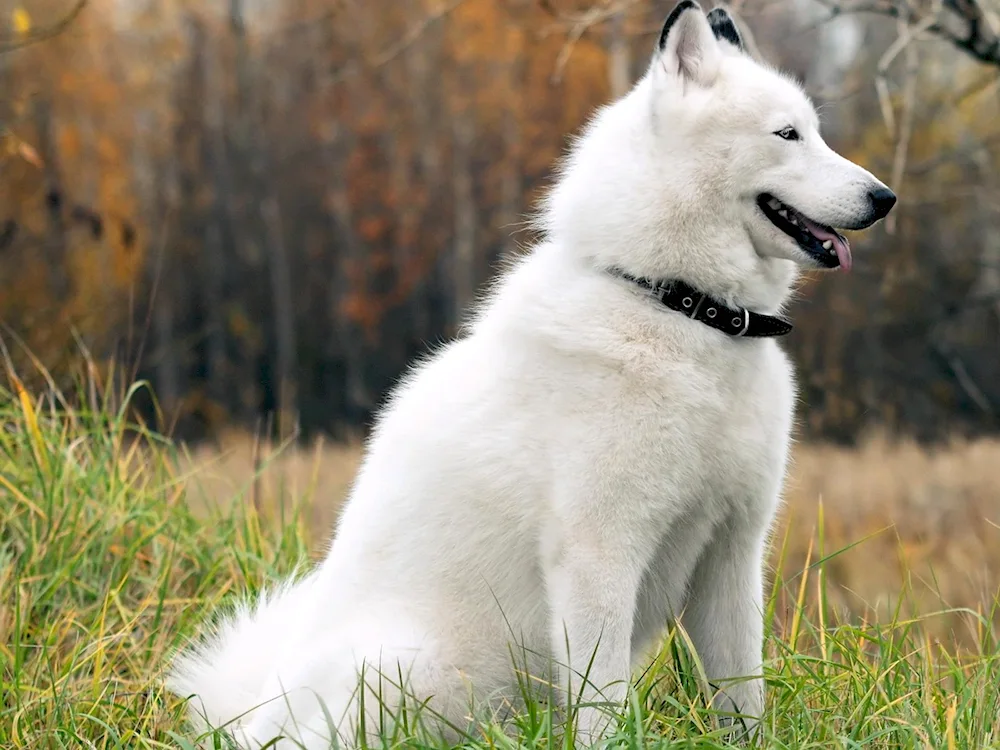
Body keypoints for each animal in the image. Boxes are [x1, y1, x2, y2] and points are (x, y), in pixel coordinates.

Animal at [168, 2, 896, 748]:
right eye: (787, 134)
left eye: (814, 130)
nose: (885, 197)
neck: (680, 308)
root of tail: (256, 715)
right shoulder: (599, 555)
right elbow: (603, 707)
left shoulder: (732, 554)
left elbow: (741, 699)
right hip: (416, 670)